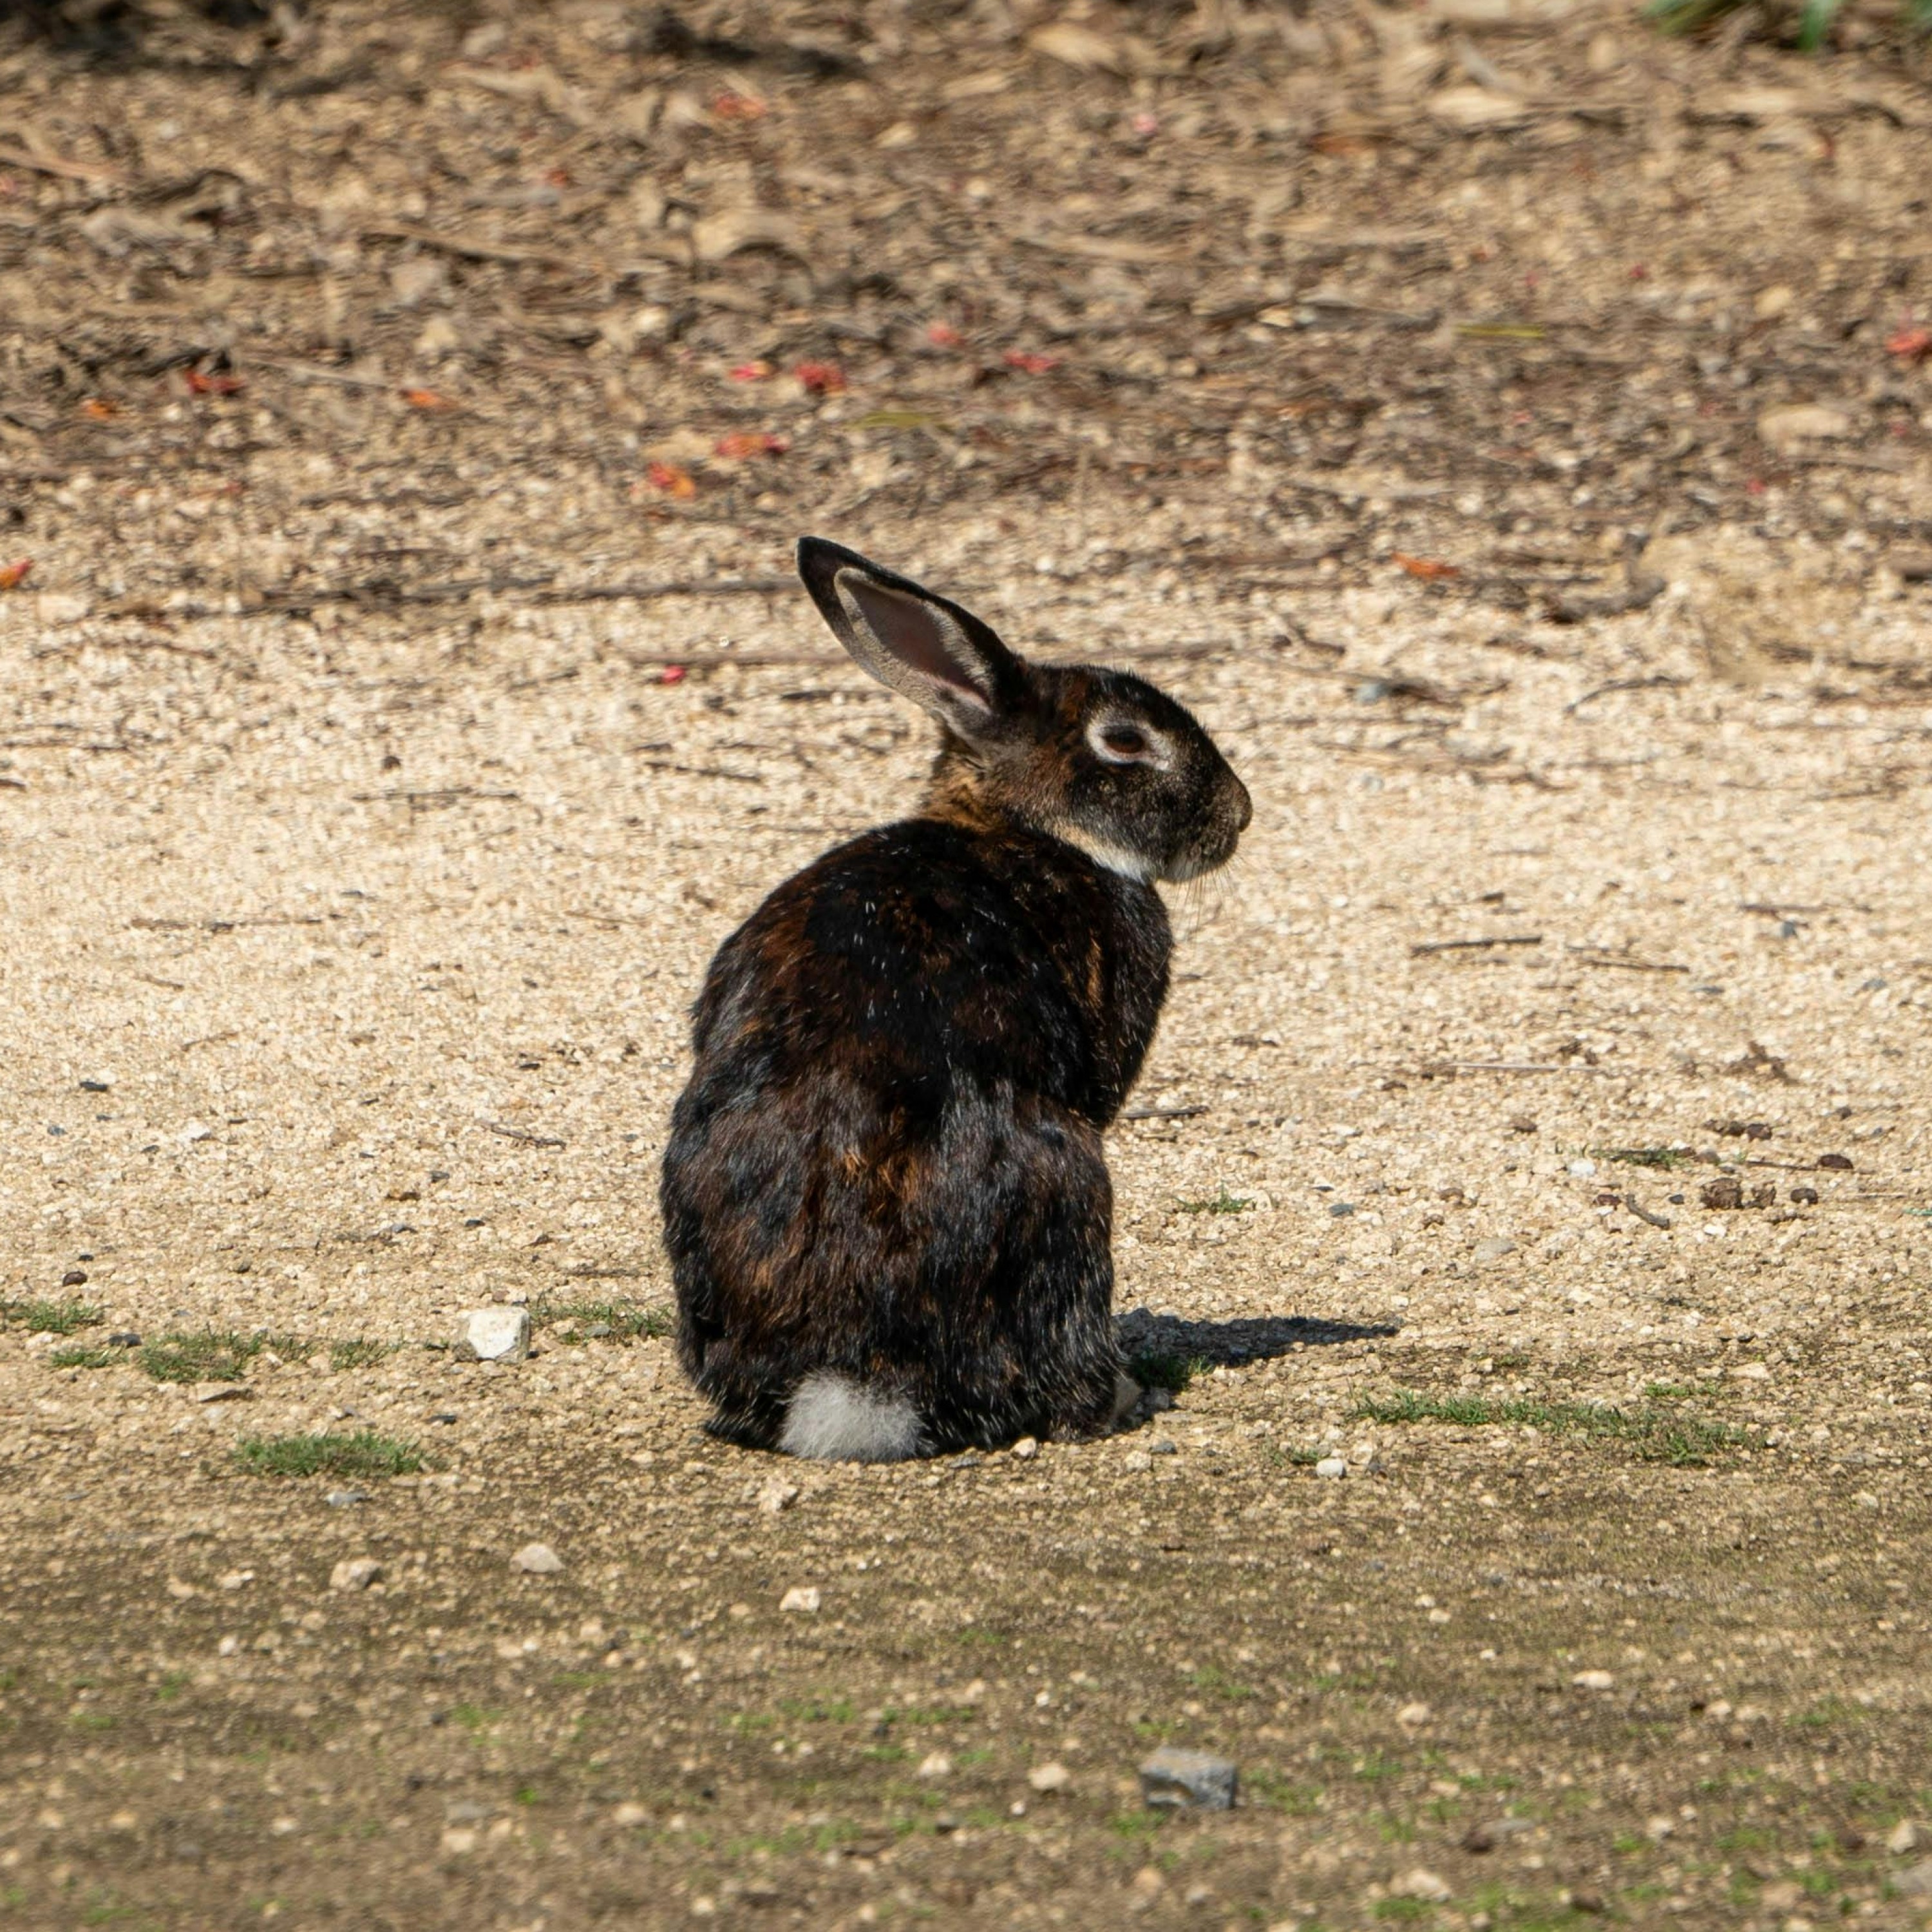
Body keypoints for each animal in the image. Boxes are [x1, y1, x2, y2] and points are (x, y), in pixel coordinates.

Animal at [657, 537, 1252, 1453]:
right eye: (1124, 741)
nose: (1240, 815)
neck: (1025, 824)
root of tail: (856, 1384)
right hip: (1072, 1189)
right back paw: (1119, 1395)